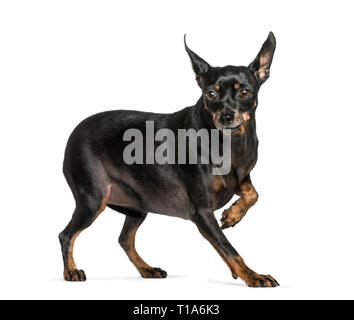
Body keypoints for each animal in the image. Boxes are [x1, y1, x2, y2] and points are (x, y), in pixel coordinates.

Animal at [59, 32, 278, 288]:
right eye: (210, 94)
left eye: (244, 92)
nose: (225, 116)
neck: (229, 143)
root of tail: (74, 132)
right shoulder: (201, 212)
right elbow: (228, 248)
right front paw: (253, 276)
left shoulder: (241, 178)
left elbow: (253, 194)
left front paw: (232, 215)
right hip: (94, 199)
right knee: (66, 234)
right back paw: (71, 271)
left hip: (137, 205)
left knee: (125, 239)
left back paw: (147, 269)